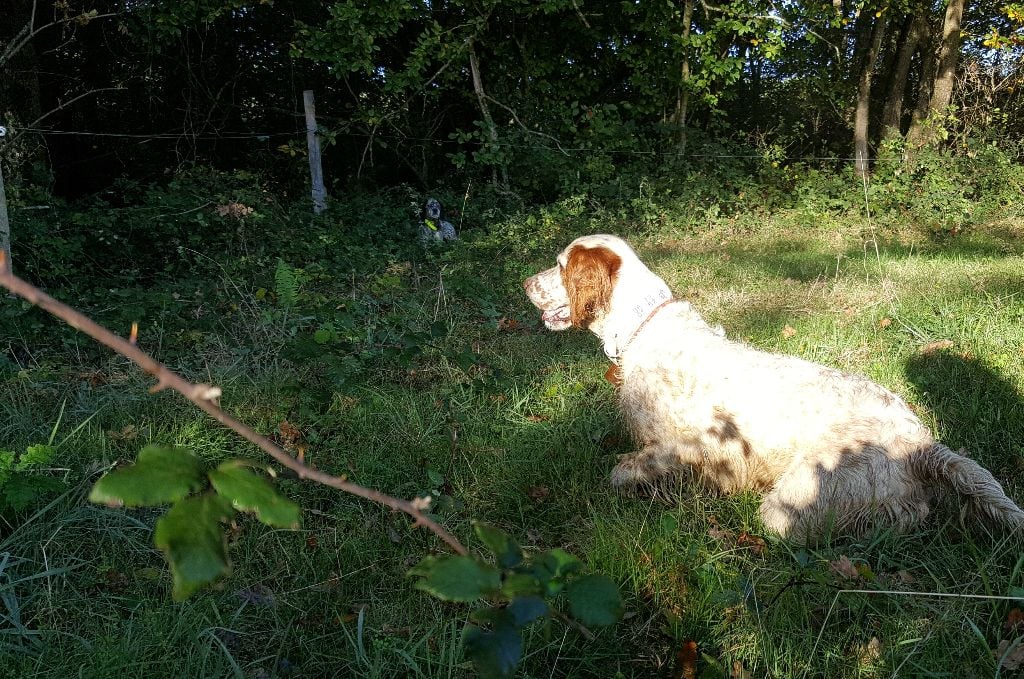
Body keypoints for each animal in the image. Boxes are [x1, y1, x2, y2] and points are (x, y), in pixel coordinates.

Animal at [524, 233, 1019, 540]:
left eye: (560, 265)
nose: (526, 283)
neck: (644, 327)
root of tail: (920, 441)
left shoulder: (680, 446)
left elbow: (622, 471)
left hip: (792, 502)